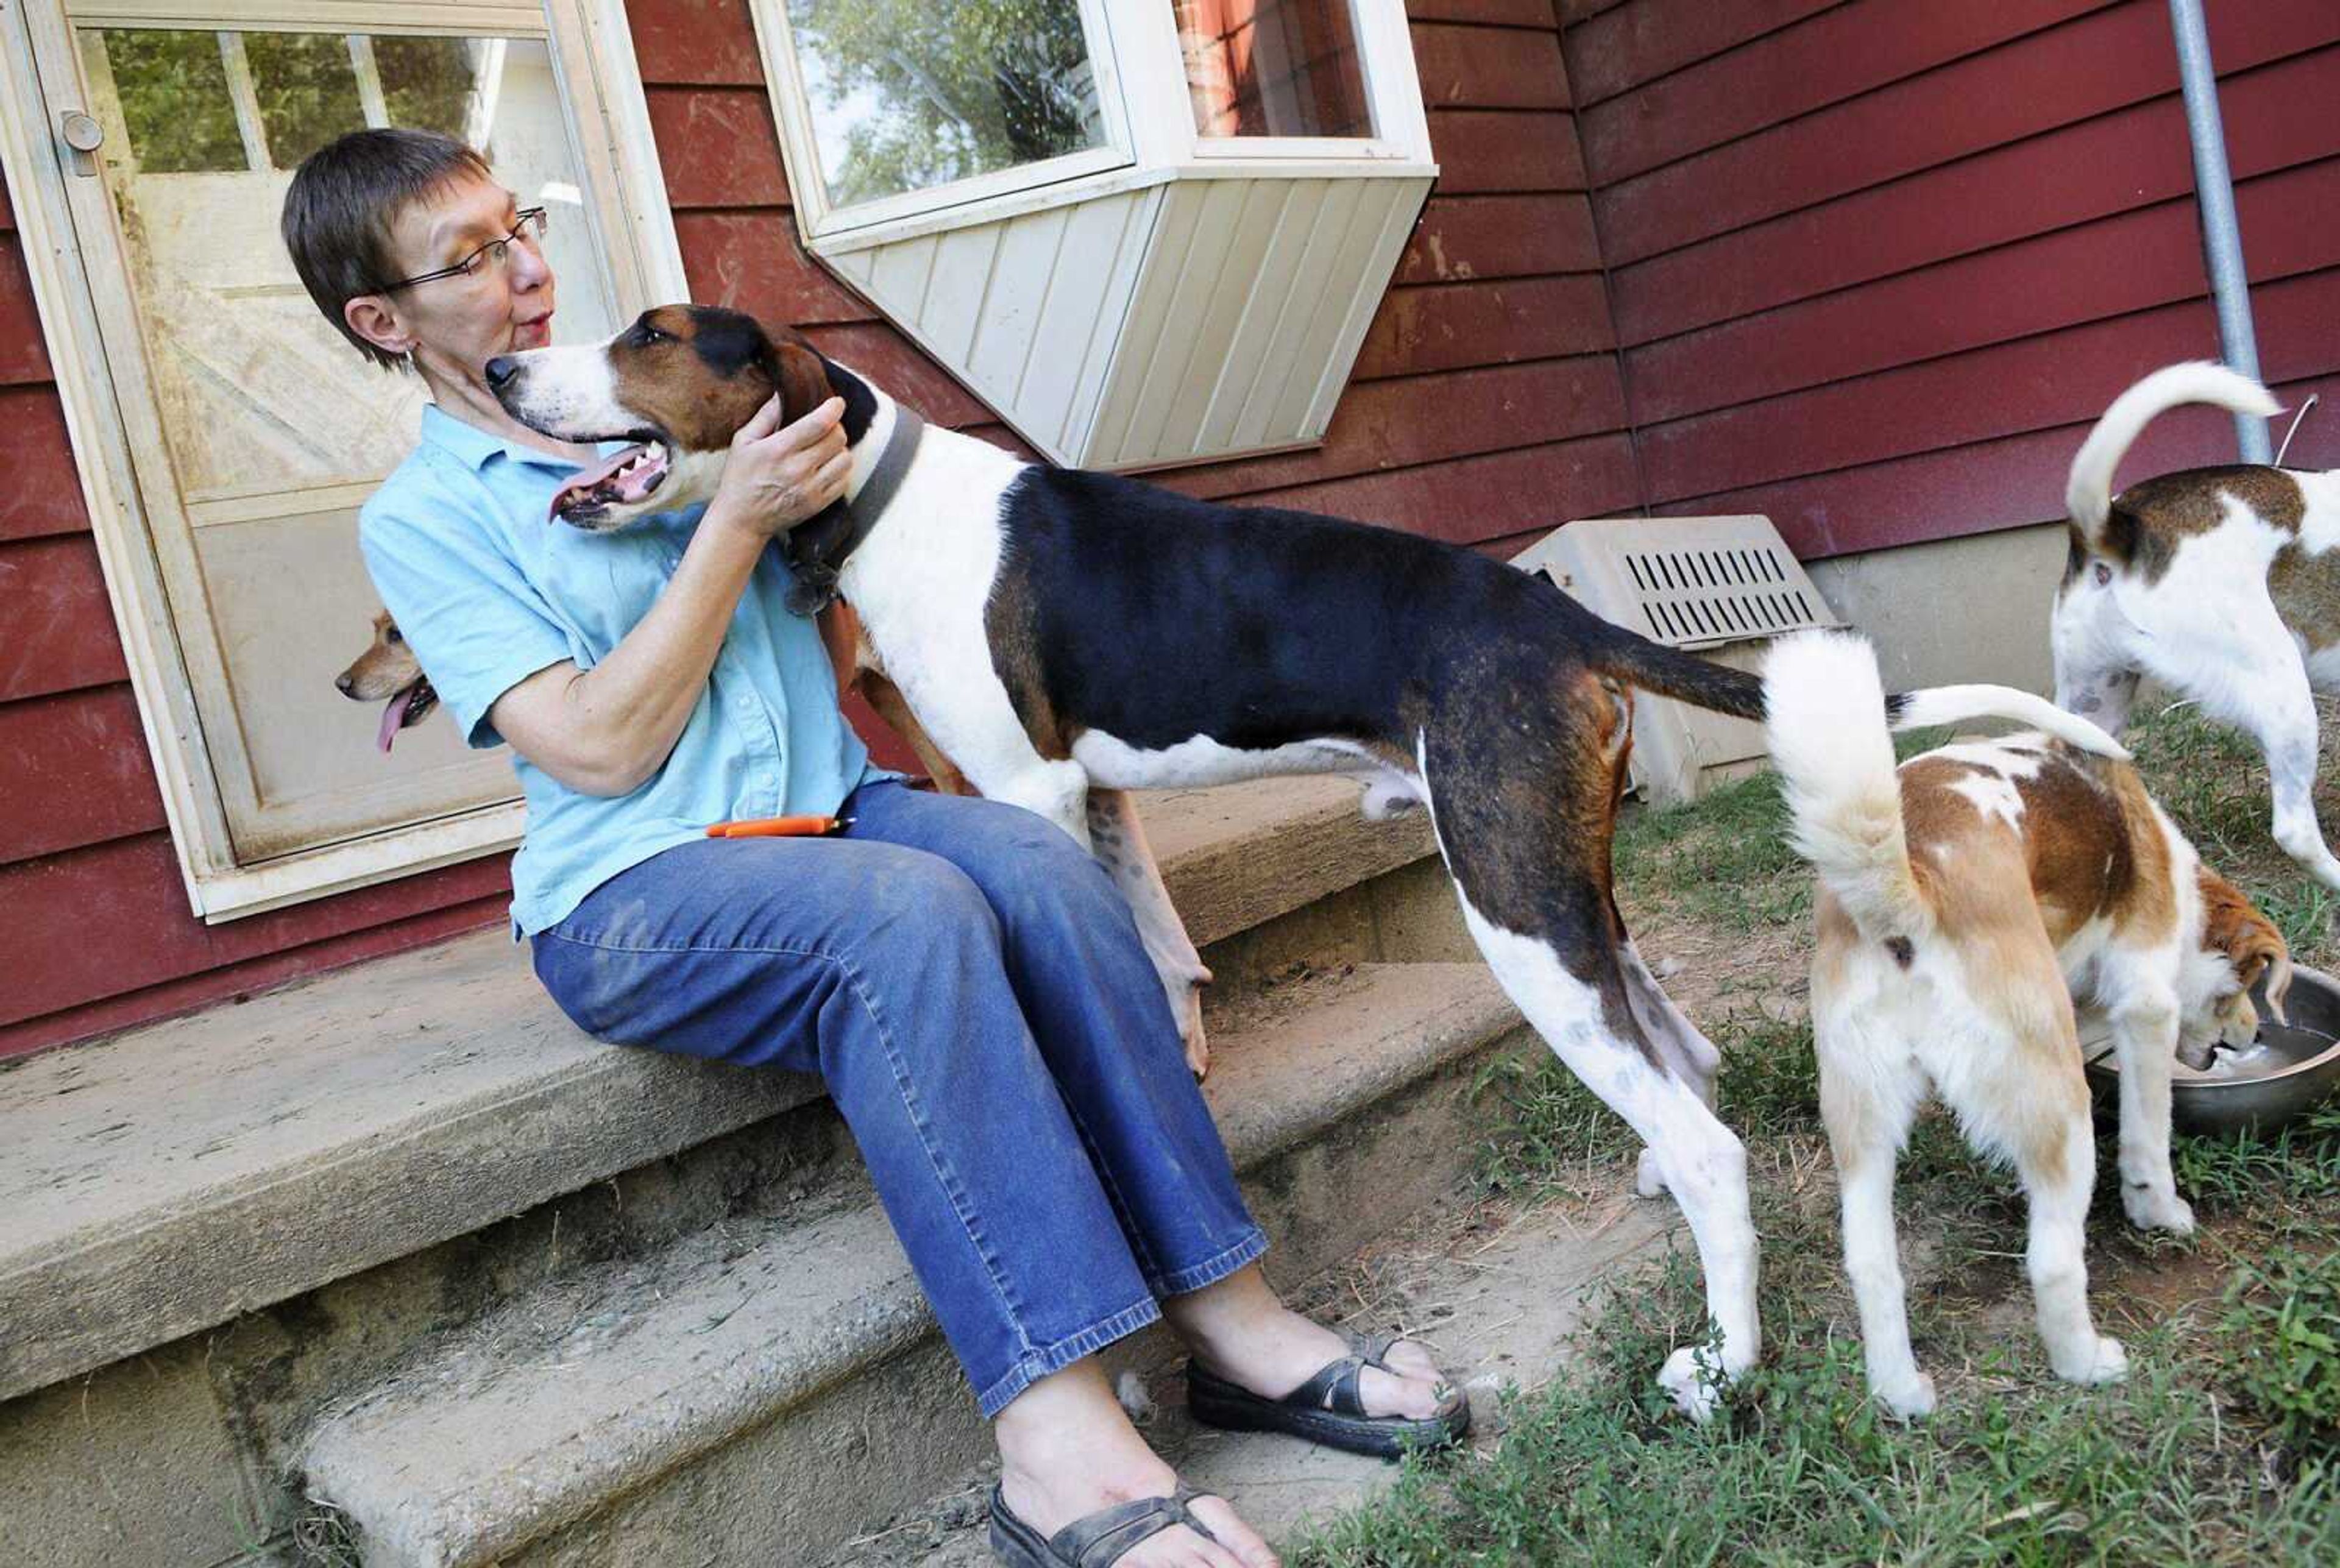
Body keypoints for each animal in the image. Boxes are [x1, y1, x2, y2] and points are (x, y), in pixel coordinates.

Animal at [480, 307, 2124, 1422]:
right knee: (1688, 1052)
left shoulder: (1024, 789)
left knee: (1711, 1135)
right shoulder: (1095, 800)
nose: (496, 374)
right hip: (1563, 890)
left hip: (1511, 906)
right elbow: (1152, 966)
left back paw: (1726, 1356)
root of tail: (1547, 610)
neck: (882, 489)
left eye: (652, 333)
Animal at [1769, 631, 2283, 1422]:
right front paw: (2160, 1212)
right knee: (2051, 1260)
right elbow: (2148, 1140)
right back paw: (2086, 1363)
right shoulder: (2147, 1008)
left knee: (1872, 1263)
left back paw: (1902, 1393)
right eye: (2246, 988)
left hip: (1862, 1123)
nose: (2252, 1035)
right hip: (2059, 1108)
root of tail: (1909, 888)